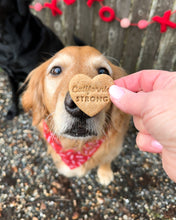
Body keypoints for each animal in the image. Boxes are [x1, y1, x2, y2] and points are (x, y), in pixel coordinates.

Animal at [21, 46, 129, 186]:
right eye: (56, 70)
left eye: (103, 71)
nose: (81, 106)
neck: (76, 146)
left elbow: (107, 159)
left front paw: (105, 172)